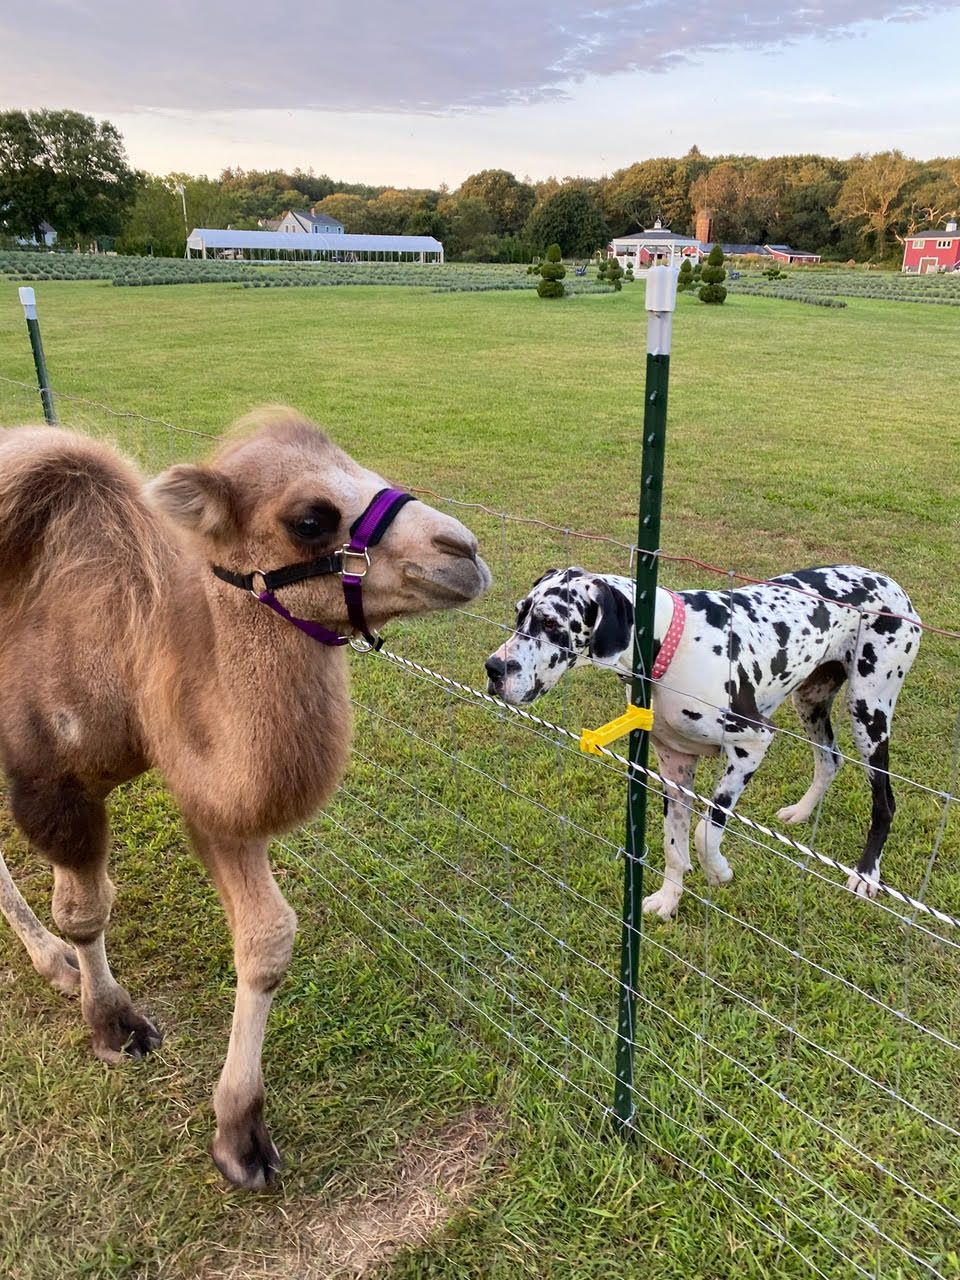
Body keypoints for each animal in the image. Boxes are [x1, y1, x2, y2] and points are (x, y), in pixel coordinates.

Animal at [0, 407, 491, 1188]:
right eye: (311, 519)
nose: (463, 551)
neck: (127, 654)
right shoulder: (50, 782)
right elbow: (83, 911)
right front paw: (112, 1025)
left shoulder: (215, 795)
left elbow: (267, 939)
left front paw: (240, 1135)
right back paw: (54, 963)